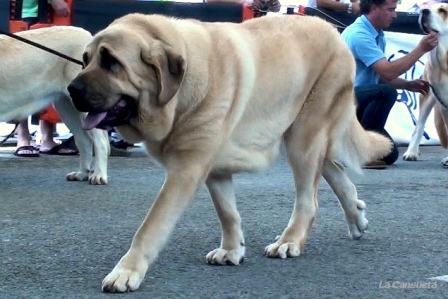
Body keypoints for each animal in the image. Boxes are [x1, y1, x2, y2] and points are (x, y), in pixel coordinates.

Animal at [0, 26, 109, 185]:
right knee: (84, 141)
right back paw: (82, 174)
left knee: (100, 142)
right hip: (66, 107)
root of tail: (90, 36)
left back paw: (99, 175)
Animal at [67, 14, 392, 292]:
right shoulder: (214, 169)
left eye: (112, 62)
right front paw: (232, 250)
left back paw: (290, 240)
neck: (180, 92)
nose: (71, 89)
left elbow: (150, 226)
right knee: (334, 170)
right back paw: (355, 217)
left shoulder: (185, 170)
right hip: (303, 138)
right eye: (85, 60)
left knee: (308, 199)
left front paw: (127, 271)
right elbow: (227, 212)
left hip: (305, 135)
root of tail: (335, 32)